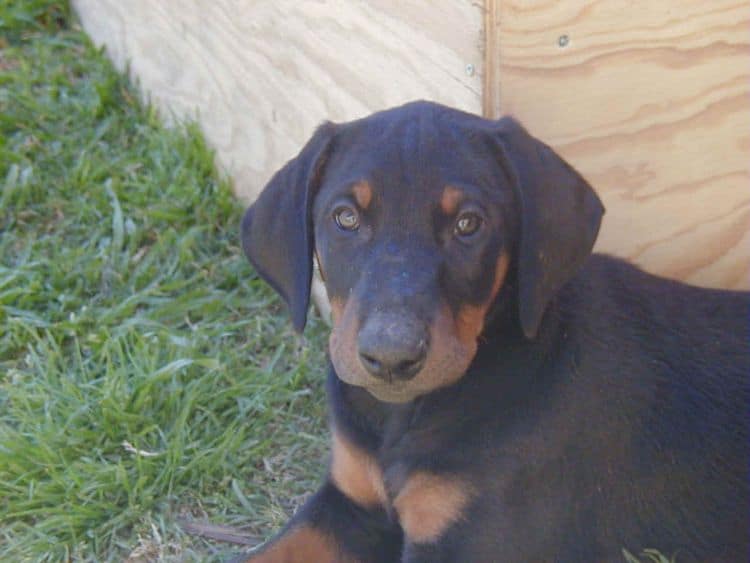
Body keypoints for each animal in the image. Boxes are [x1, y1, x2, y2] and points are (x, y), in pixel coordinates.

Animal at [238, 102, 748, 563]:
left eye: (469, 224)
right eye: (345, 218)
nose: (391, 357)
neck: (403, 415)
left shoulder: (471, 538)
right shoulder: (348, 504)